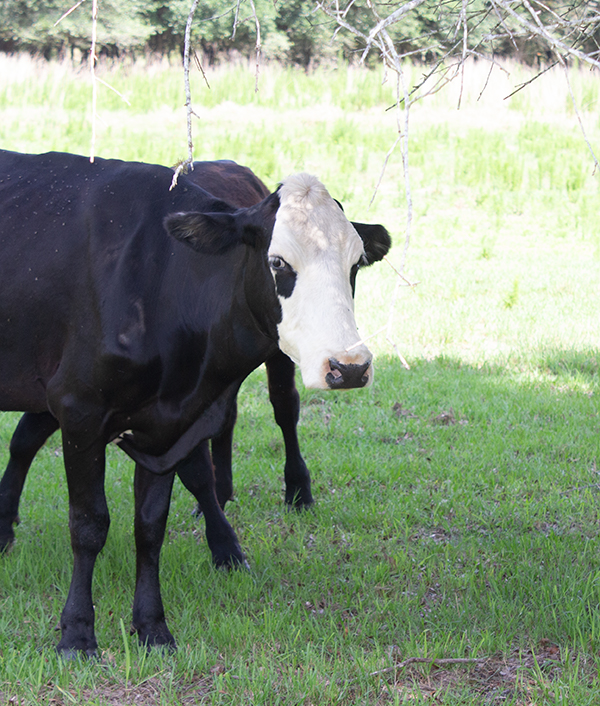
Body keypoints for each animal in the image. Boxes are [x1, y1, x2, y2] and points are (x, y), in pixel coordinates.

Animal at [0, 150, 390, 656]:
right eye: (278, 262)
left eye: (356, 263)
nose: (350, 366)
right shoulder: (79, 408)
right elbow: (88, 524)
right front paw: (78, 633)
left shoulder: (167, 426)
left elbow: (150, 526)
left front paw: (152, 626)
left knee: (278, 410)